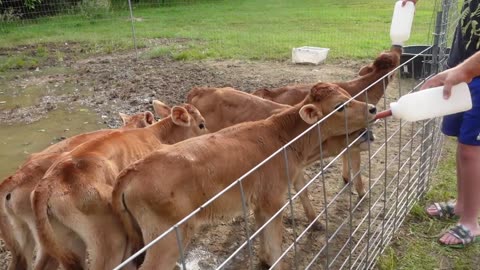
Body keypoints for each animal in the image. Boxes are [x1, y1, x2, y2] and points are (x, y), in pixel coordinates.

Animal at [114, 82, 376, 270]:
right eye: (340, 105)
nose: (373, 109)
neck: (282, 137)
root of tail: (131, 171)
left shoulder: (259, 202)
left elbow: (263, 237)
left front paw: (264, 259)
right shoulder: (273, 200)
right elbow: (275, 243)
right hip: (168, 238)